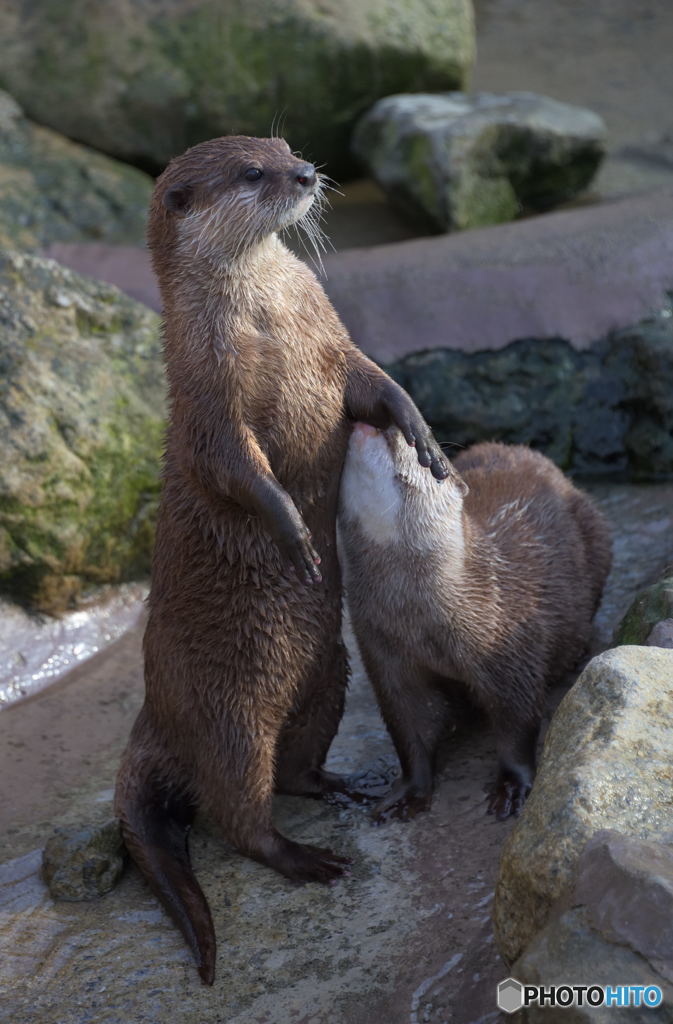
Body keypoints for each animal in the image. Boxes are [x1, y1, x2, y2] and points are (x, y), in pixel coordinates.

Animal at [113, 136, 448, 983]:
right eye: (251, 173)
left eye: (285, 148)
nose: (305, 175)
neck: (268, 322)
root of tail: (152, 722)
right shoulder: (208, 402)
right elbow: (239, 471)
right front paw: (295, 533)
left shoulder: (333, 343)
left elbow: (376, 385)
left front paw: (421, 434)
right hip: (228, 717)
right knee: (238, 815)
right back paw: (306, 859)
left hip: (327, 671)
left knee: (294, 764)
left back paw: (346, 787)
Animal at [338, 428, 610, 819]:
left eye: (430, 457)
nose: (384, 424)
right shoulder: (383, 654)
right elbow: (410, 728)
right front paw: (408, 793)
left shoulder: (512, 647)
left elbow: (518, 722)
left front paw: (512, 788)